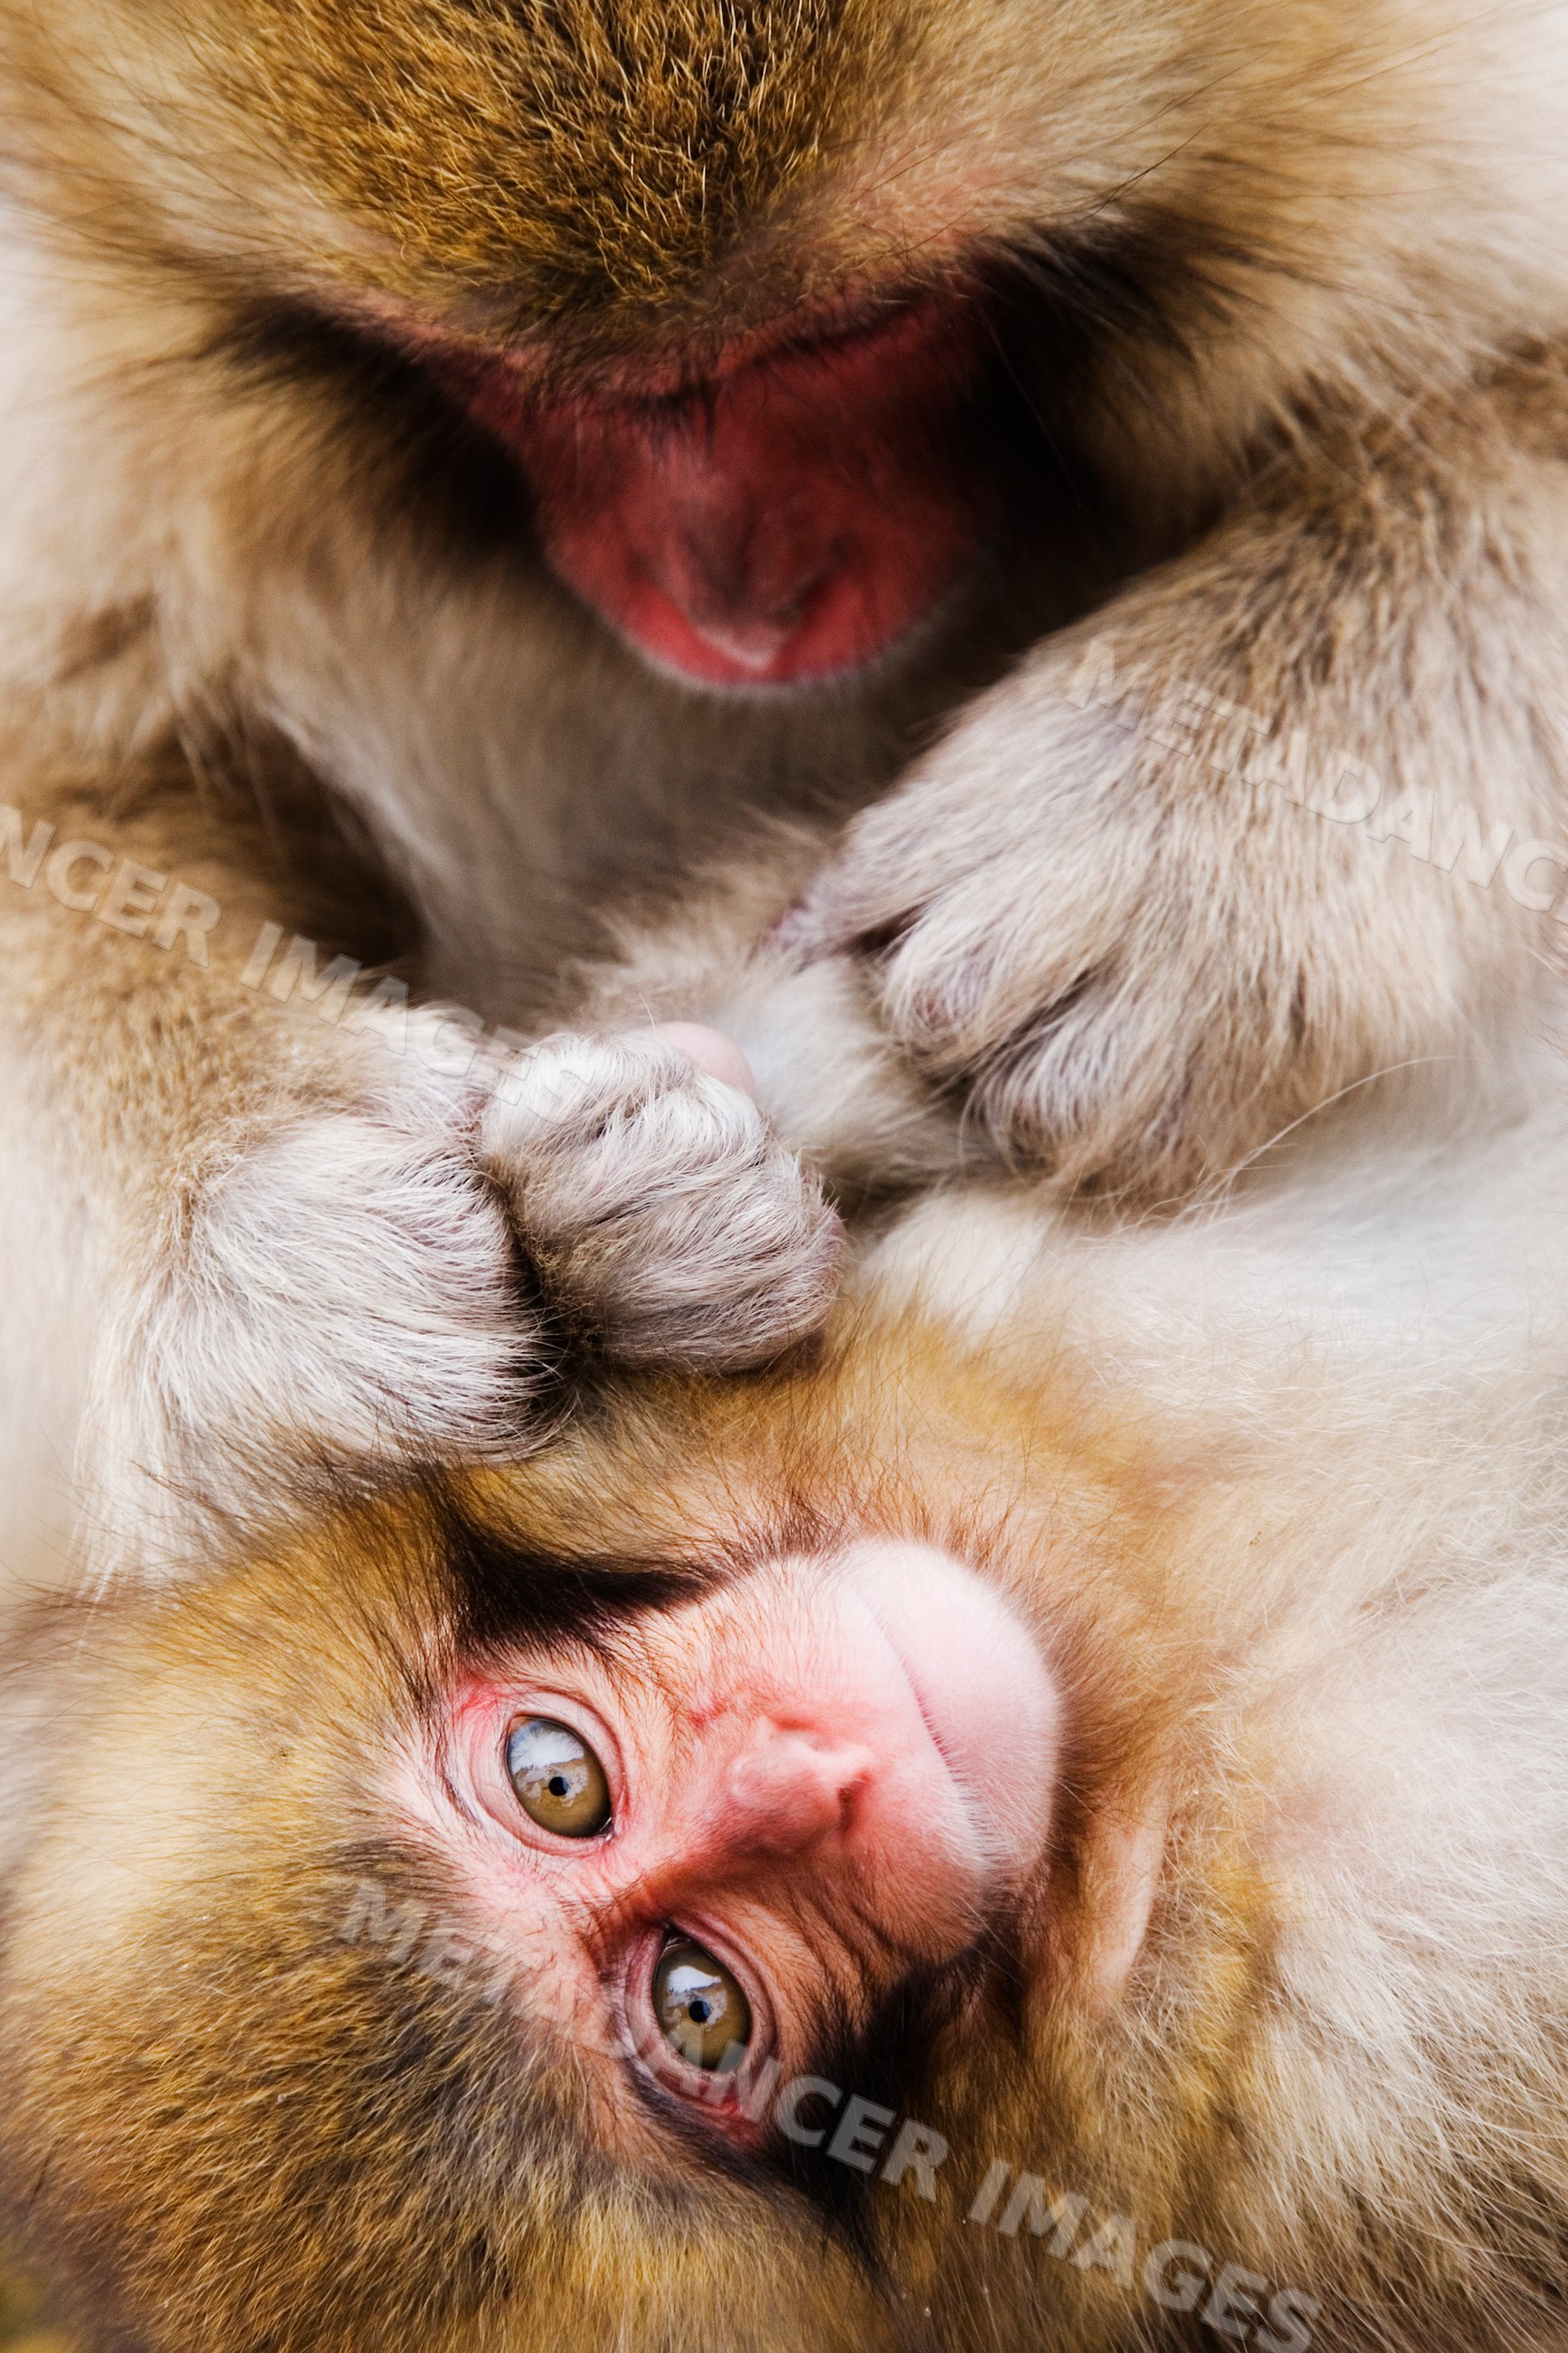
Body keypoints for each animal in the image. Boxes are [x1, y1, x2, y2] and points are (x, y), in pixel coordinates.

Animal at [5, 0, 1568, 1586]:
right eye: (510, 384)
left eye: (853, 333)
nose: (739, 610)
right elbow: (61, 783)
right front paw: (248, 1198)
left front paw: (1170, 823)